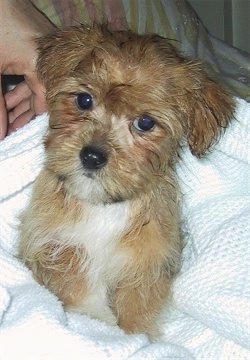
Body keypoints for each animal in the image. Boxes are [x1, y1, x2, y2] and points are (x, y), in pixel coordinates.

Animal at [18, 23, 235, 336]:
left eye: (145, 123)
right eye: (84, 100)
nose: (92, 156)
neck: (102, 208)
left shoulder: (148, 263)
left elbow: (136, 307)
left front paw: (136, 335)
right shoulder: (52, 242)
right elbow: (75, 278)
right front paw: (96, 319)